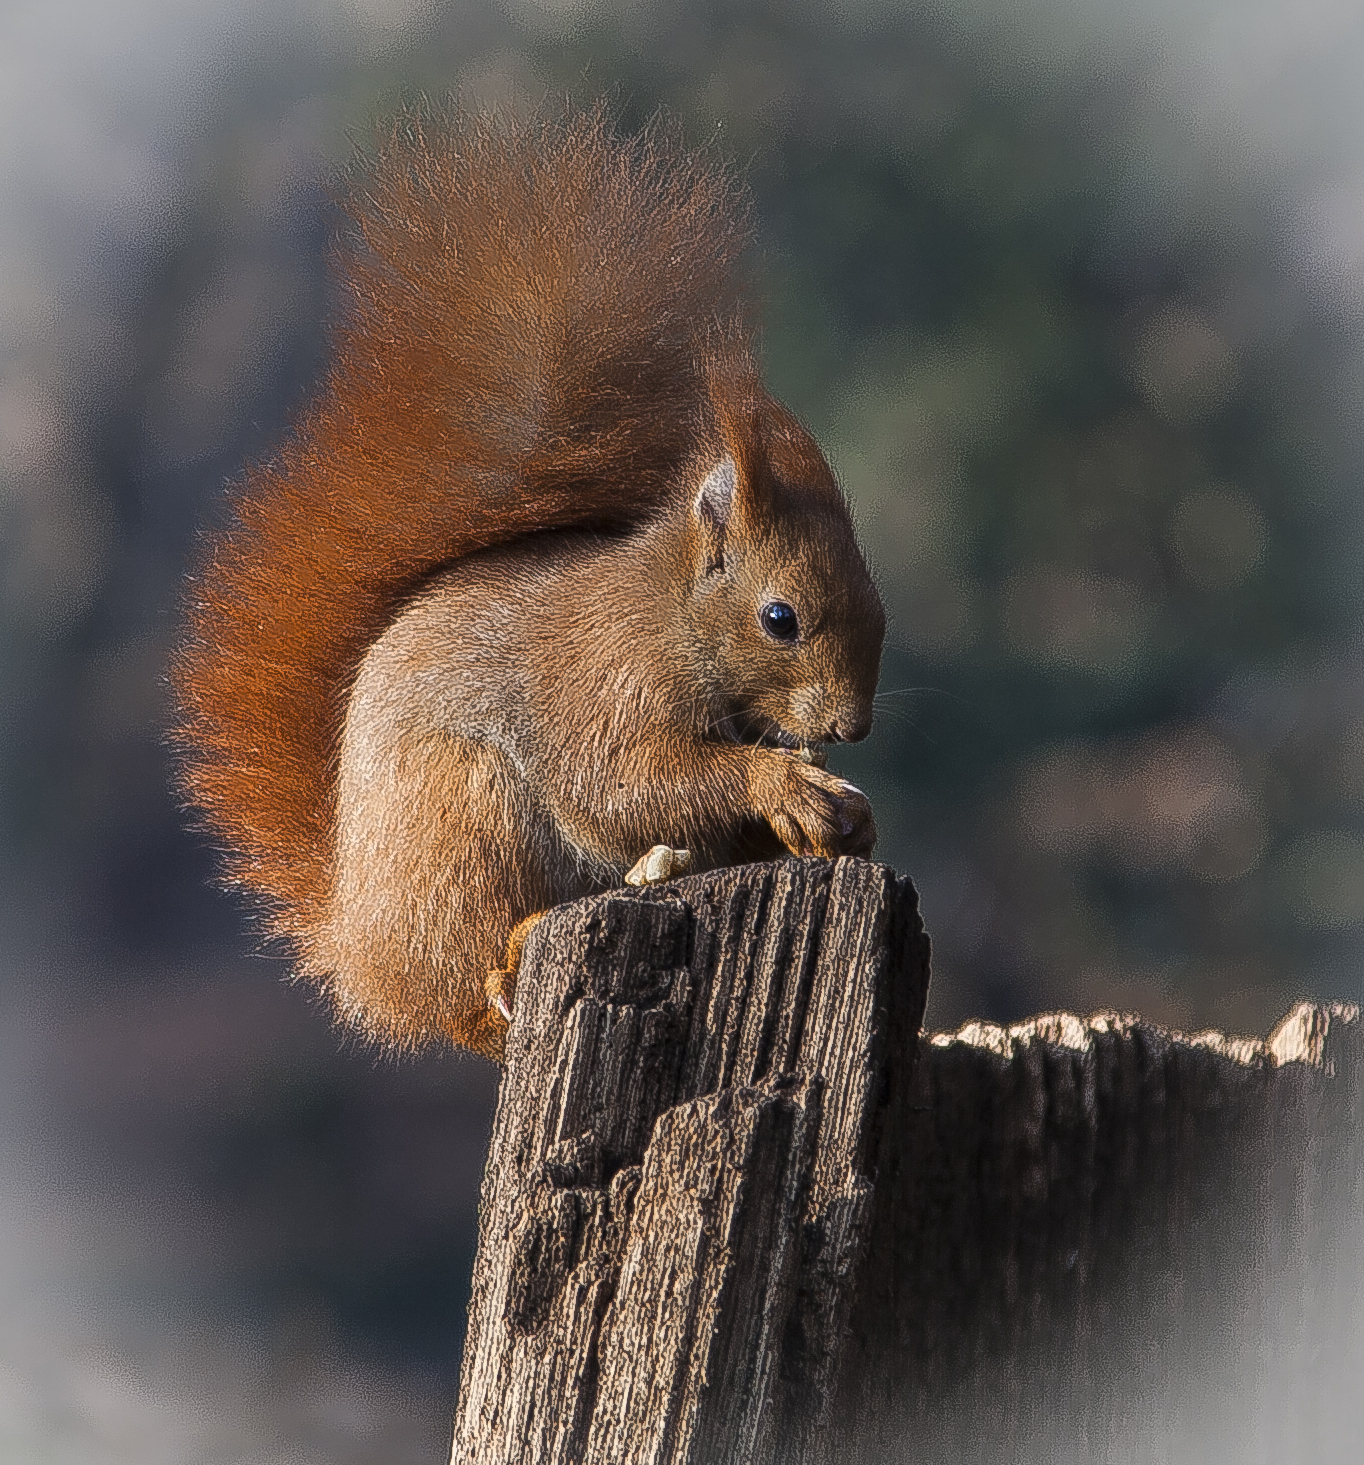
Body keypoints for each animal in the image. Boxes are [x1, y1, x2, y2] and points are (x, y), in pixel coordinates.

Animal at [171, 106, 886, 1062]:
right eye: (780, 618)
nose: (851, 725)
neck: (671, 618)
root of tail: (359, 944)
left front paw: (845, 816)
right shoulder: (604, 686)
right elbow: (629, 782)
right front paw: (785, 785)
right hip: (464, 814)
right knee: (467, 988)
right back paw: (511, 959)